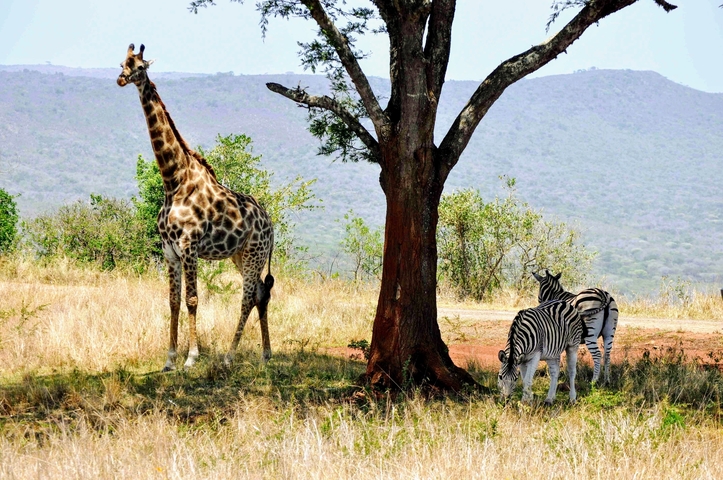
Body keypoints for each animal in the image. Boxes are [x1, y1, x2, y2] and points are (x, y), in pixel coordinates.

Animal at [117, 44, 275, 371]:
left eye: (139, 66)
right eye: (121, 63)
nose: (121, 79)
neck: (173, 182)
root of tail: (270, 223)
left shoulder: (189, 246)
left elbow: (192, 300)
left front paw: (191, 358)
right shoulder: (169, 250)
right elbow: (172, 301)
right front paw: (169, 360)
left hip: (254, 253)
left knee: (247, 297)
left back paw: (229, 356)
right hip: (241, 255)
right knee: (260, 294)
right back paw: (266, 354)